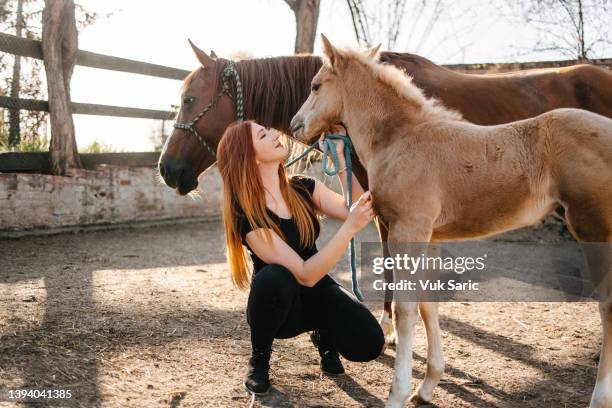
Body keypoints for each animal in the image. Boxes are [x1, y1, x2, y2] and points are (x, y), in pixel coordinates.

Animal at [290, 35, 612, 408]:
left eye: (315, 86)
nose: (296, 125)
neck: (402, 138)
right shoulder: (429, 237)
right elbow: (428, 305)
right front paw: (427, 386)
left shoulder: (408, 230)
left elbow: (405, 309)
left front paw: (397, 394)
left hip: (593, 228)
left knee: (608, 305)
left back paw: (599, 398)